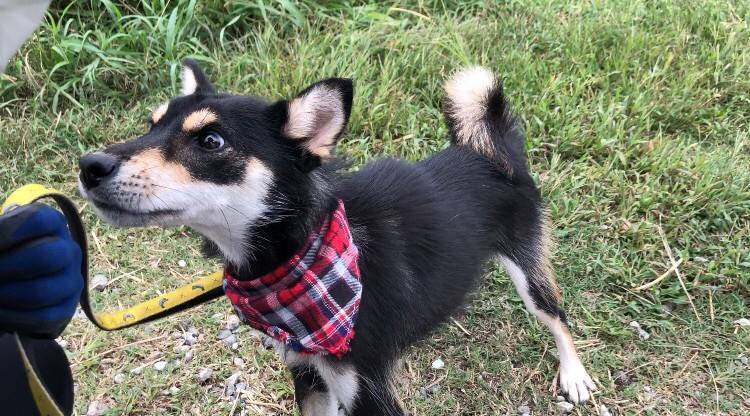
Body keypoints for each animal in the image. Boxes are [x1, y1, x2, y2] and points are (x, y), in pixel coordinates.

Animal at [78, 60, 595, 415]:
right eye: (151, 125)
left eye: (211, 141)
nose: (89, 166)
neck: (300, 253)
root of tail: (489, 153)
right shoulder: (308, 373)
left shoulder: (367, 393)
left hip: (528, 270)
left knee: (556, 316)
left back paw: (574, 375)